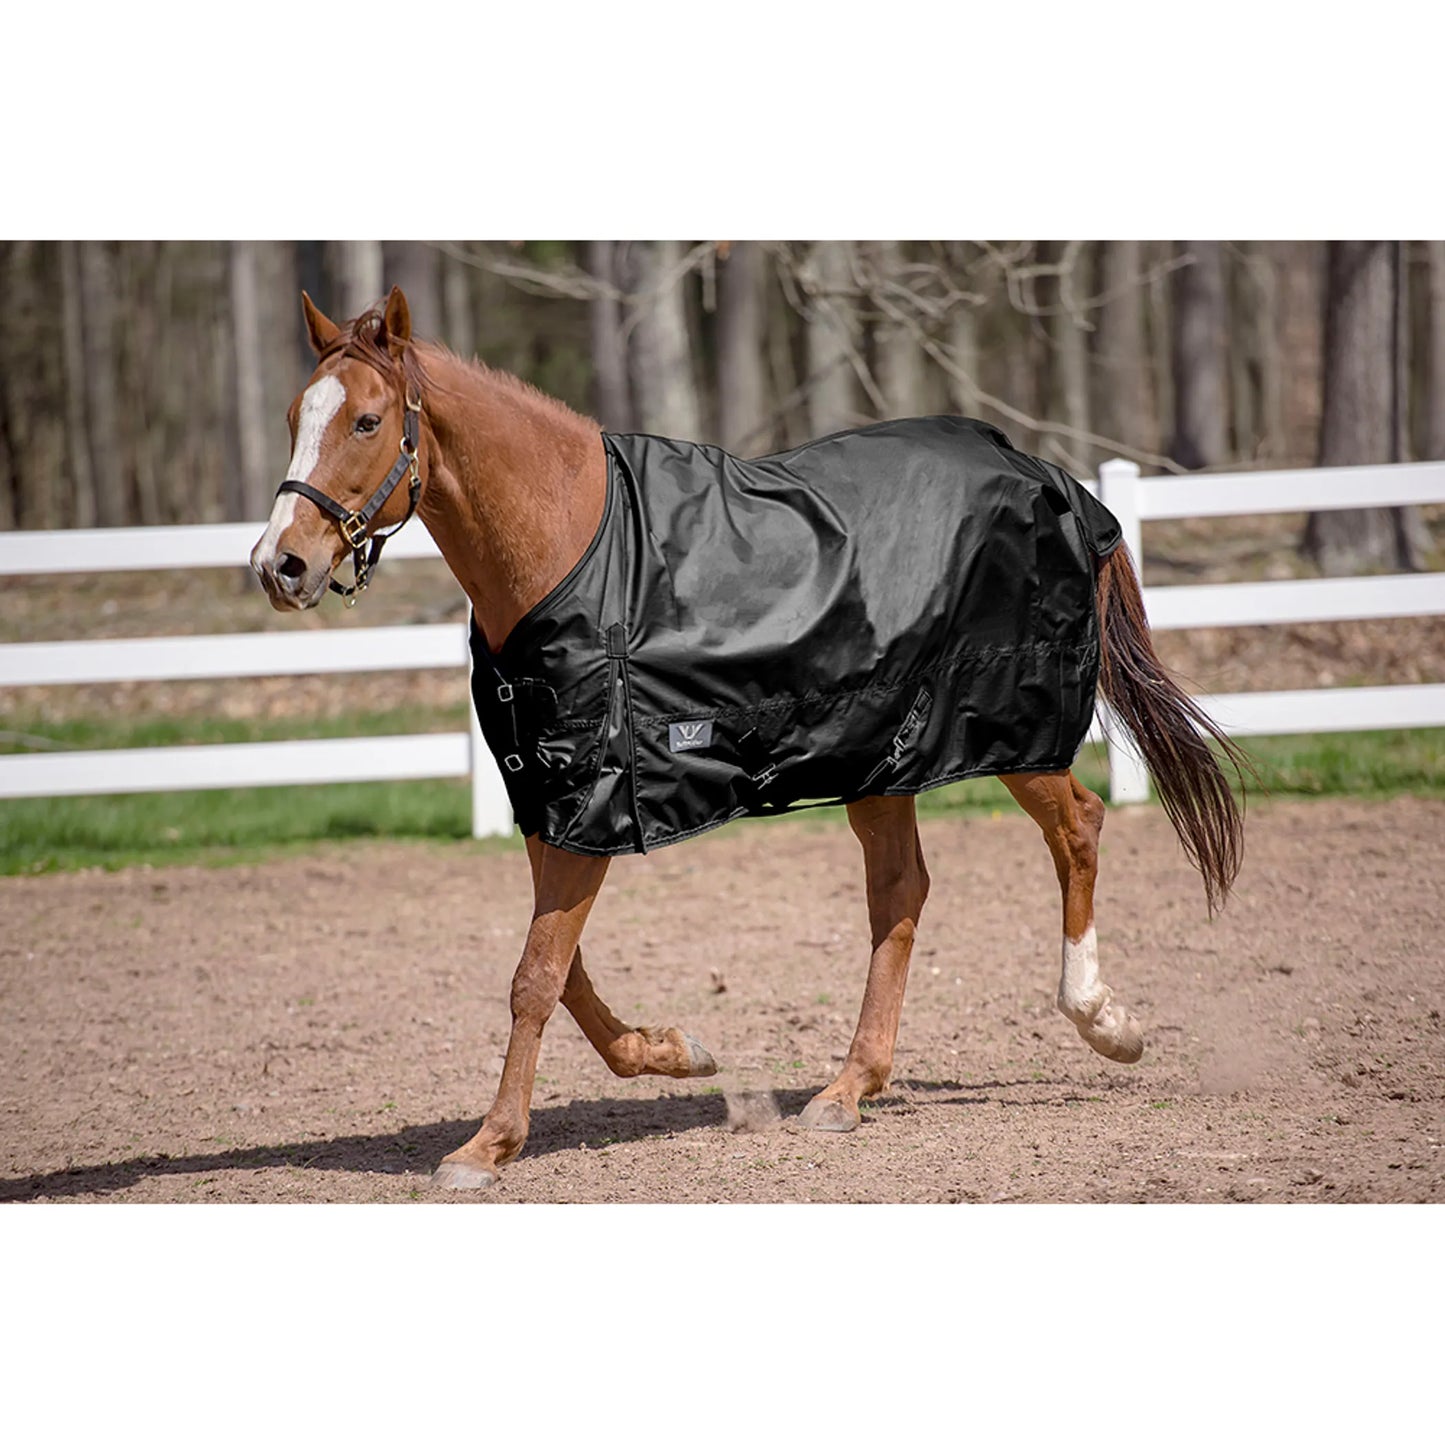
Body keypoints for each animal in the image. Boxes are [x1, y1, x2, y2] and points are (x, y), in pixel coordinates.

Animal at [251, 285, 1245, 1191]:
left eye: (367, 420)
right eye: (297, 415)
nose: (278, 564)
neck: (572, 547)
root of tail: (1049, 477)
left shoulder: (595, 807)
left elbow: (534, 975)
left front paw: (485, 1147)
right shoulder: (554, 803)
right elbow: (560, 968)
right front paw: (671, 1050)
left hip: (1006, 733)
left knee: (1076, 826)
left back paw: (1103, 1022)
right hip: (883, 756)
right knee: (901, 891)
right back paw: (846, 1089)